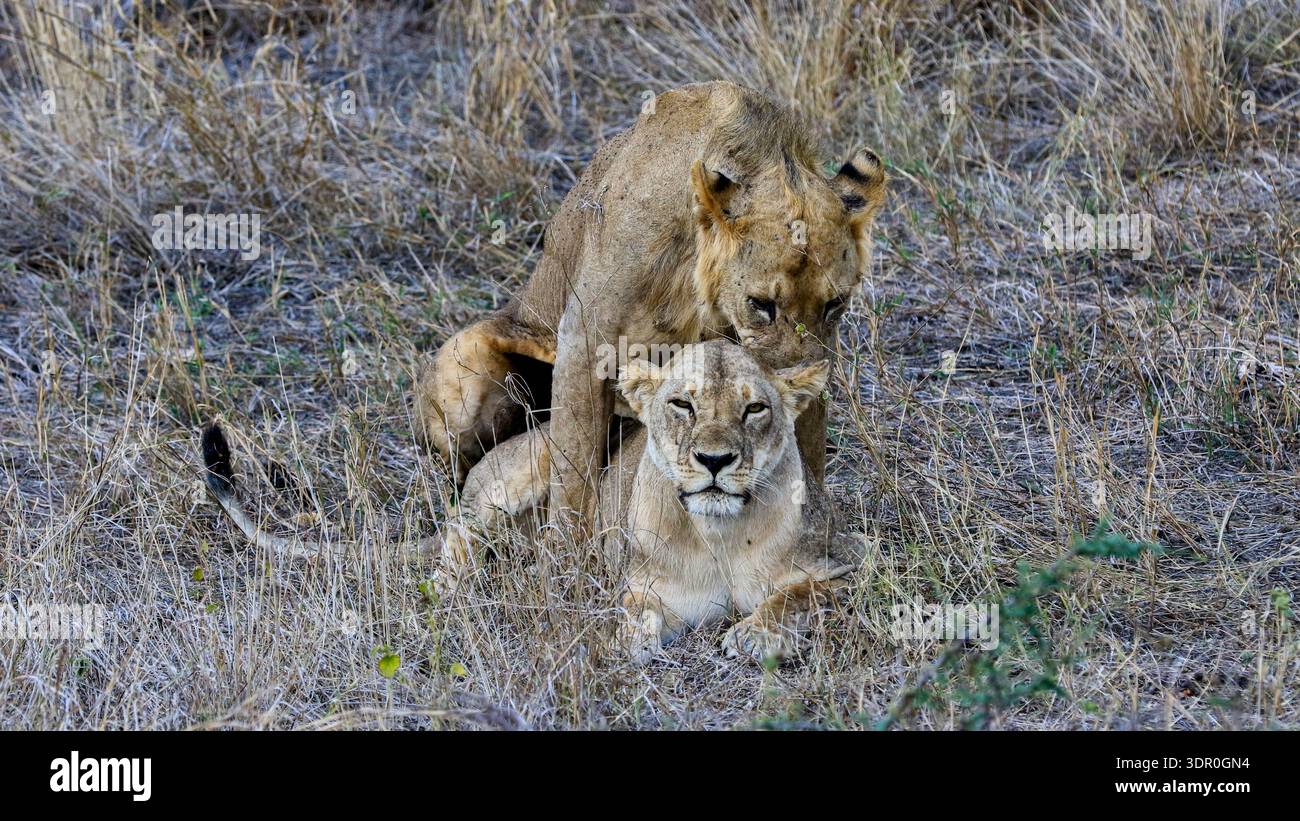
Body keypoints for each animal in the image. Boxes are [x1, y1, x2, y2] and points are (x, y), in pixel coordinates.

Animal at [414, 81, 886, 539]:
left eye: (835, 305)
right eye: (761, 305)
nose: (794, 374)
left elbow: (807, 452)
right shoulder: (584, 341)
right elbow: (574, 476)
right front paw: (569, 559)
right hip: (464, 367)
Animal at [443, 340, 860, 664]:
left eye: (755, 408)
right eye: (682, 405)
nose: (714, 460)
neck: (719, 533)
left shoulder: (845, 568)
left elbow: (797, 598)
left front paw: (755, 635)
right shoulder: (652, 588)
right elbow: (635, 610)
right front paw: (622, 642)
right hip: (533, 466)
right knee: (460, 522)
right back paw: (452, 585)